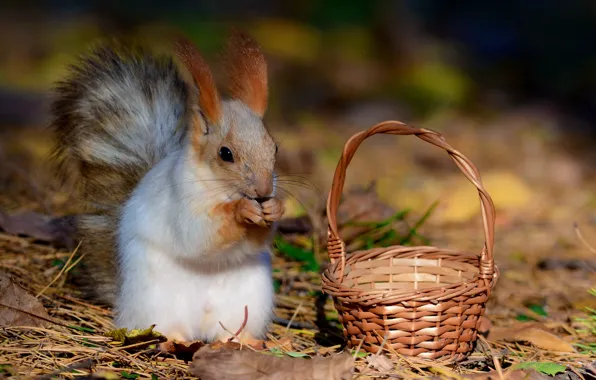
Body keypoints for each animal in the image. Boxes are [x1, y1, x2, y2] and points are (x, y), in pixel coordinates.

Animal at [50, 31, 286, 342]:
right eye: (225, 154)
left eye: (274, 148)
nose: (263, 191)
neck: (220, 190)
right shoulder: (180, 202)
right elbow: (198, 234)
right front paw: (240, 210)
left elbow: (254, 242)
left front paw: (275, 208)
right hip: (157, 302)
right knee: (165, 328)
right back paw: (174, 340)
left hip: (248, 302)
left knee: (229, 330)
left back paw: (243, 341)